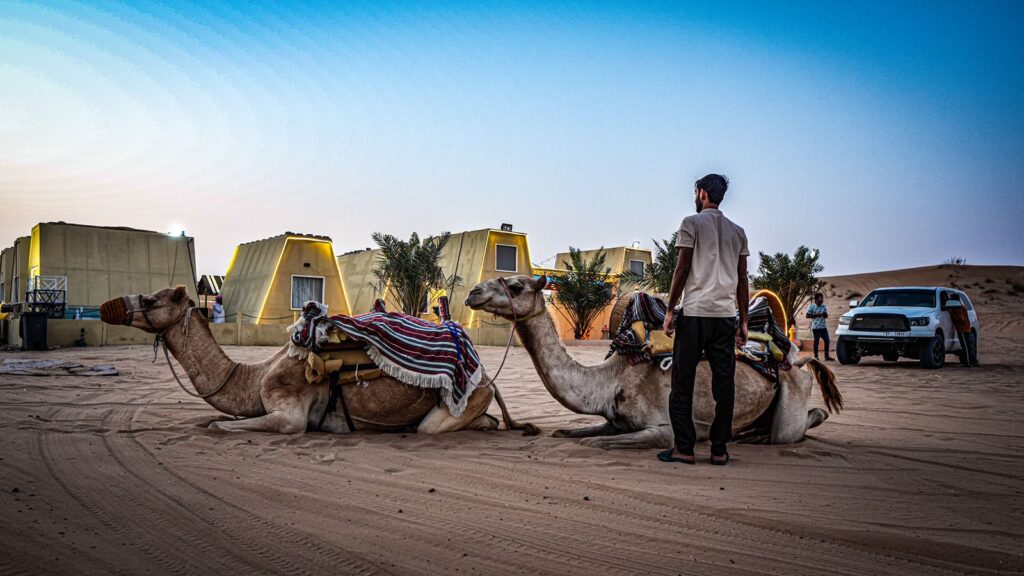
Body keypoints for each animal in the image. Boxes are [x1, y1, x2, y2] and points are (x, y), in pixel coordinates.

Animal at [99, 286, 540, 434]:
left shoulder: (290, 414)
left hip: (460, 402)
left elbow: (219, 426)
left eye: (151, 300)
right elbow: (211, 420)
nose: (107, 307)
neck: (255, 376)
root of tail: (486, 376)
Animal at [464, 274, 839, 448]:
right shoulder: (615, 421)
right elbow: (567, 432)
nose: (473, 292)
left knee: (797, 424)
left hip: (792, 391)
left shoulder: (663, 429)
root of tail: (799, 358)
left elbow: (592, 442)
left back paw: (756, 437)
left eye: (516, 286)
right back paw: (746, 433)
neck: (609, 380)